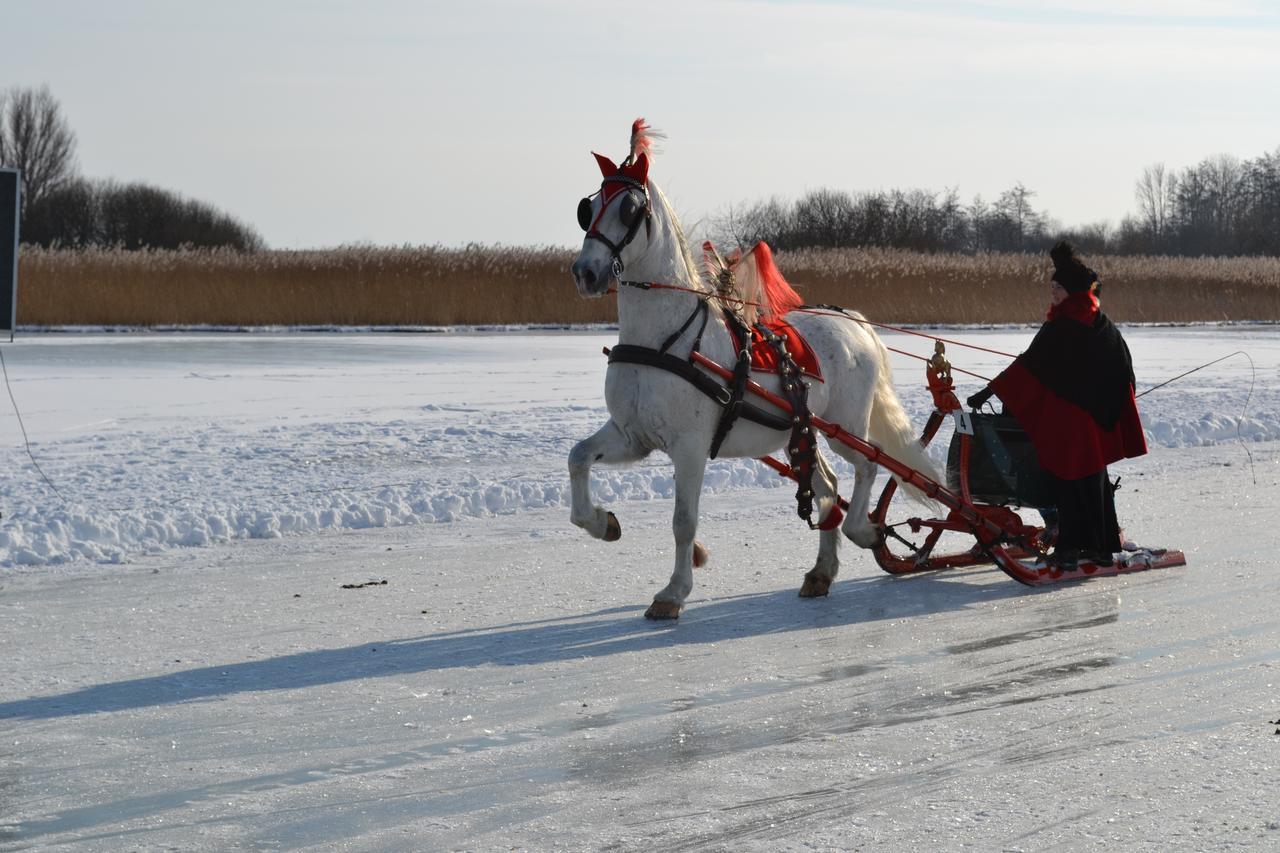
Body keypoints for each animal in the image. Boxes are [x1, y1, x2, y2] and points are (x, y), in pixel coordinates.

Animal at [565, 117, 936, 617]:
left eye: (629, 208)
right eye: (587, 209)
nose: (585, 273)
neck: (661, 339)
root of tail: (853, 321)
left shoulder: (690, 446)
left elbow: (683, 520)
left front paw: (673, 592)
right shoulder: (633, 436)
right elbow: (578, 457)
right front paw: (601, 521)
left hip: (844, 426)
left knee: (867, 466)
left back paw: (863, 528)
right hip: (803, 433)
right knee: (826, 488)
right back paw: (821, 571)